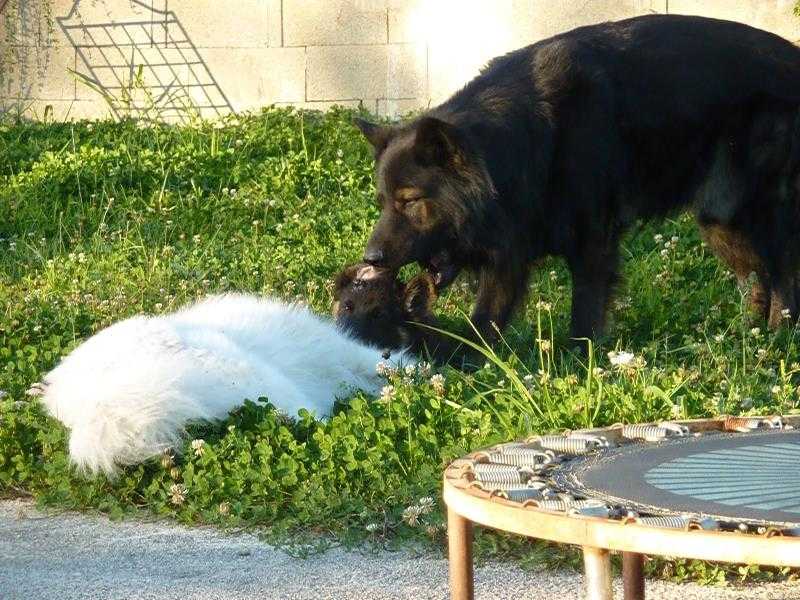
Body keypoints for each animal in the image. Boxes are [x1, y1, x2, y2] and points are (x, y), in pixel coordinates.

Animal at [355, 14, 800, 343]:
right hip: (721, 218)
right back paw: (752, 337)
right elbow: (485, 319)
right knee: (758, 275)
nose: (370, 260)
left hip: (749, 210)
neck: (523, 141)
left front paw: (580, 361)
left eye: (409, 201)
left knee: (783, 272)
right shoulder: (509, 249)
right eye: (382, 202)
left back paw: (779, 335)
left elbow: (584, 310)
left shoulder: (592, 239)